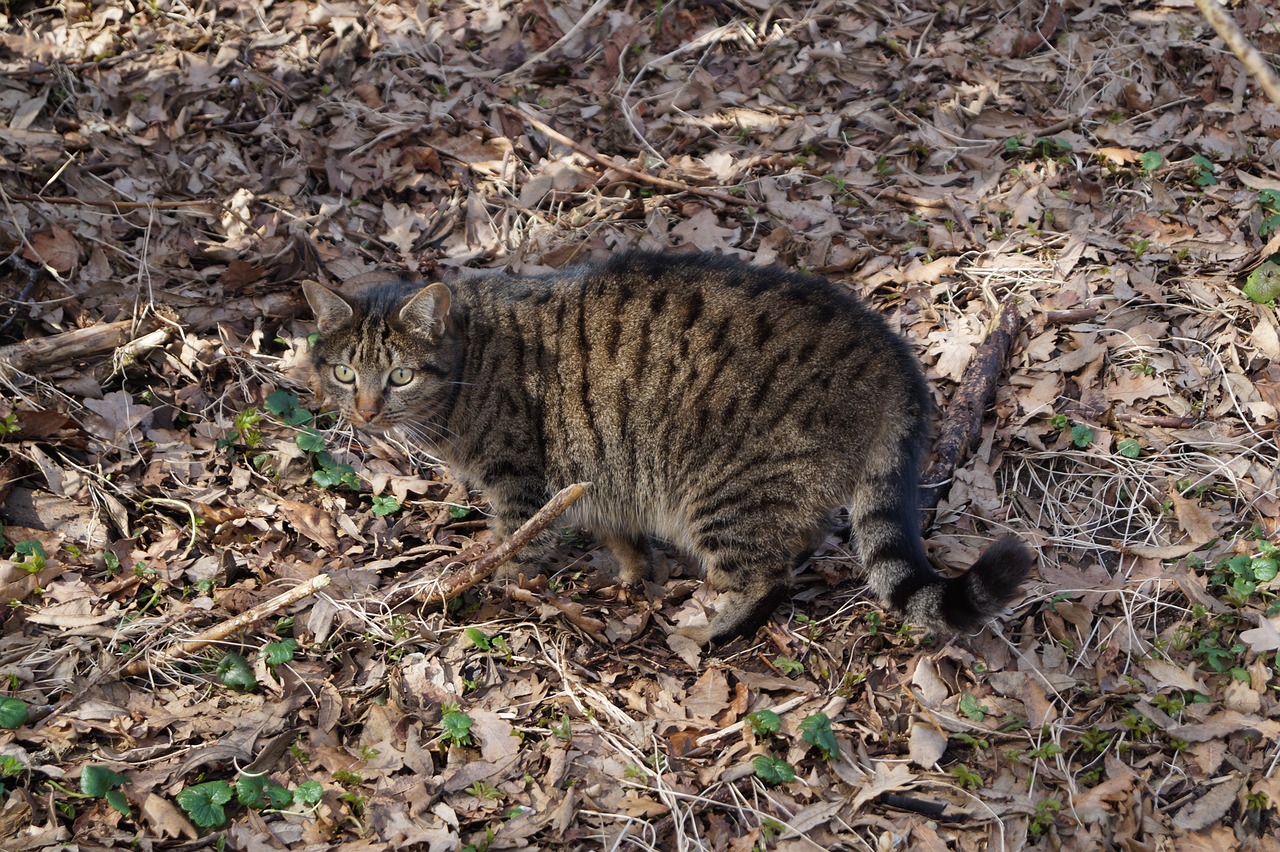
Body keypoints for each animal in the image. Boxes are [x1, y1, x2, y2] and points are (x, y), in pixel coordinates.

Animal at [304, 252, 1034, 644]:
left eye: (399, 376)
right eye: (345, 373)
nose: (365, 411)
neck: (467, 369)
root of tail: (893, 353)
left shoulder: (521, 485)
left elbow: (512, 551)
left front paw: (479, 584)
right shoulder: (598, 478)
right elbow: (622, 538)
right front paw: (631, 578)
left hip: (731, 487)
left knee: (766, 575)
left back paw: (706, 628)